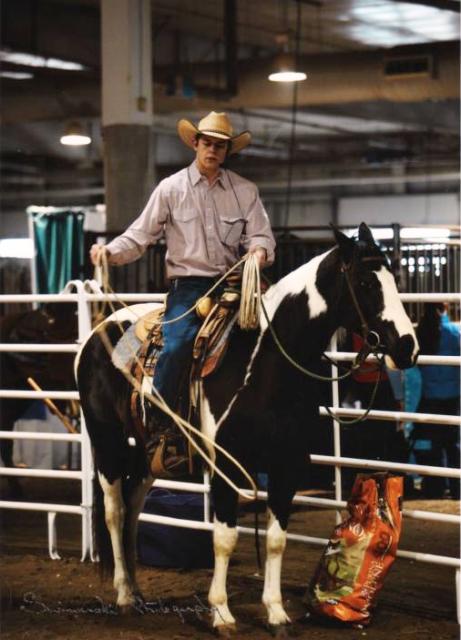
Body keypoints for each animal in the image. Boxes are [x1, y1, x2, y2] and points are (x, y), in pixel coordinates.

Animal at [75, 225, 416, 636]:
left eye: (394, 278)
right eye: (366, 281)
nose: (408, 347)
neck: (264, 364)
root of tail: (99, 333)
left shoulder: (289, 464)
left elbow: (276, 540)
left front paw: (276, 612)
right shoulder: (227, 464)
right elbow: (225, 538)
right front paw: (221, 613)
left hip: (145, 455)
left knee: (133, 509)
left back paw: (138, 590)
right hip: (106, 440)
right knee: (114, 510)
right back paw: (124, 594)